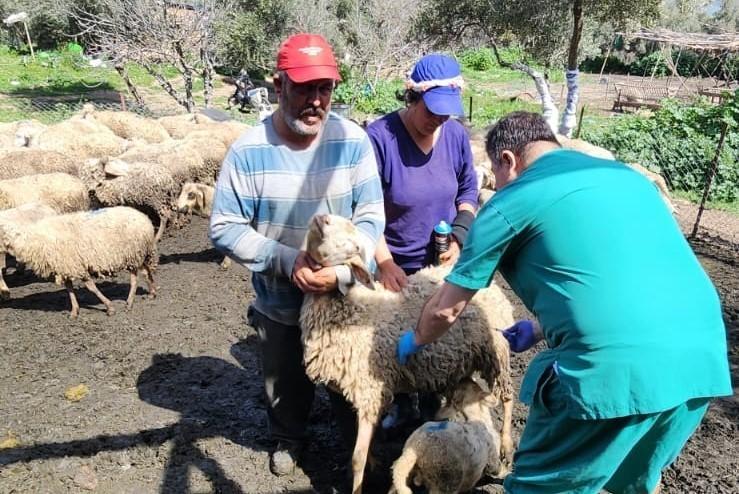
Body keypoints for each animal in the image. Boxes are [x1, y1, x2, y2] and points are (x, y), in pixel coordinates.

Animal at [0, 206, 158, 318]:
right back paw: (152, 293)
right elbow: (69, 289)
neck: (30, 240)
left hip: (134, 254)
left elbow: (91, 287)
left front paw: (109, 307)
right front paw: (74, 311)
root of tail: (144, 218)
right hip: (140, 254)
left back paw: (130, 302)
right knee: (146, 272)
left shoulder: (76, 265)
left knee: (135, 279)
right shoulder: (66, 267)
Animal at [300, 213, 516, 494]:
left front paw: (359, 483)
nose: (321, 217)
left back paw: (506, 446)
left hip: (497, 351)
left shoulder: (369, 390)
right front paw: (373, 462)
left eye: (354, 244)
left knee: (507, 397)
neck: (352, 308)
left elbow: (357, 457)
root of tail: (492, 284)